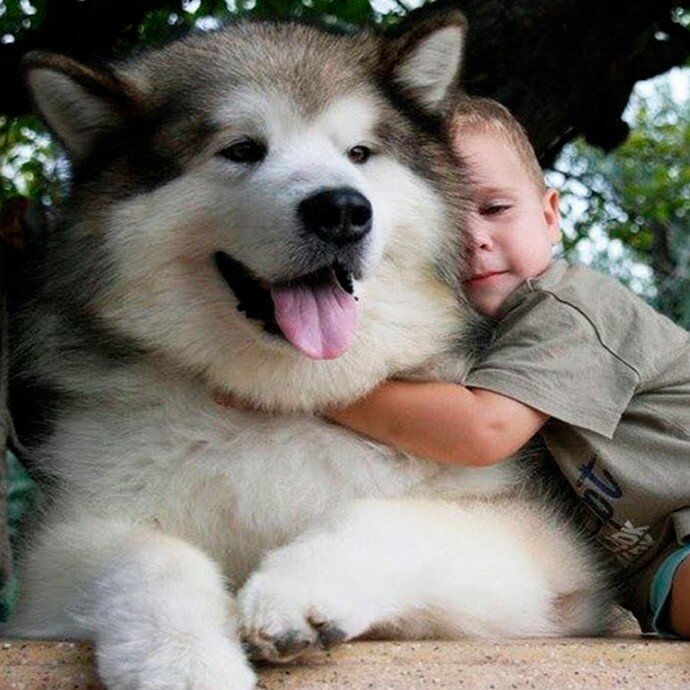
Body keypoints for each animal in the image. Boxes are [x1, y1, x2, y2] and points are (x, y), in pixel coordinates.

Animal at [4, 12, 608, 688]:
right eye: (243, 149)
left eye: (359, 154)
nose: (342, 210)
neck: (281, 402)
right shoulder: (55, 559)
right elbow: (149, 556)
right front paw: (188, 661)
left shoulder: (551, 562)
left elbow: (393, 516)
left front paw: (295, 589)